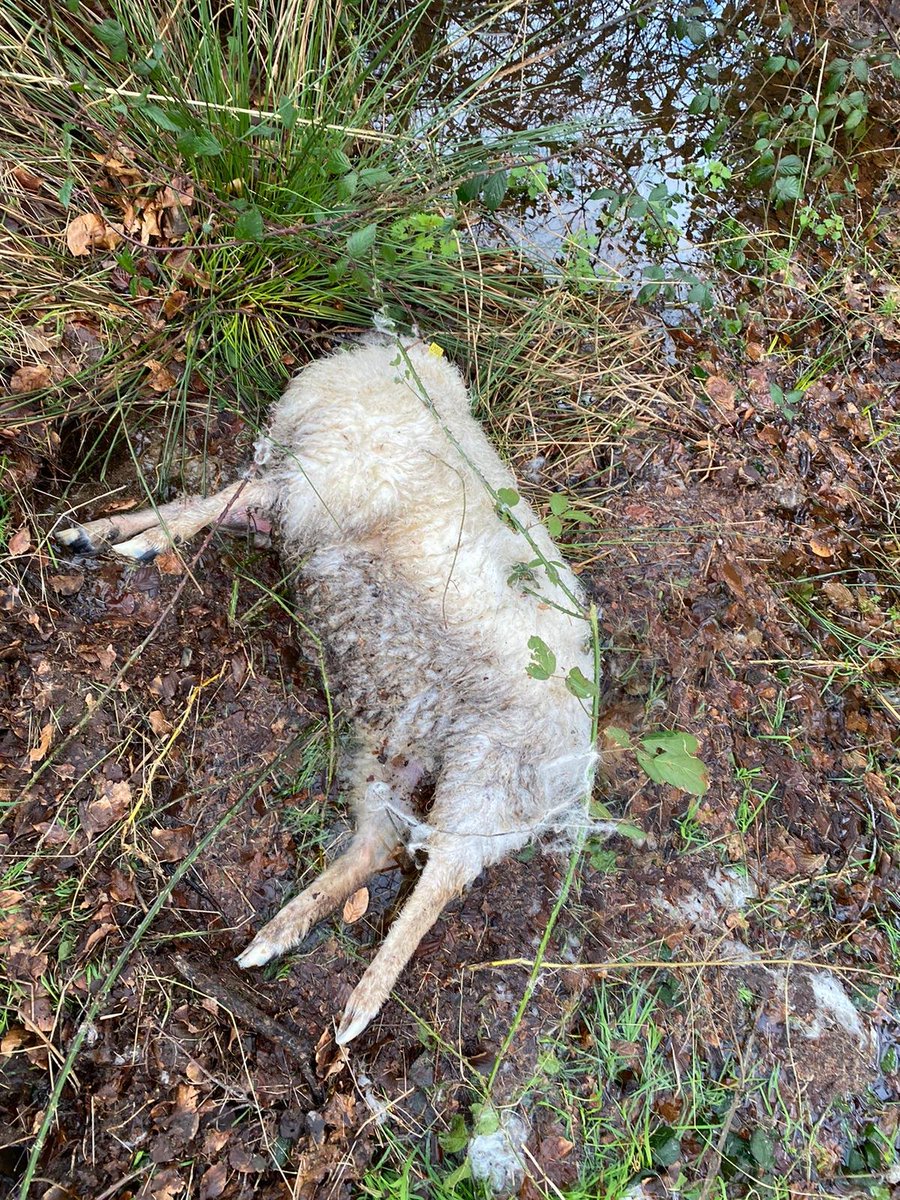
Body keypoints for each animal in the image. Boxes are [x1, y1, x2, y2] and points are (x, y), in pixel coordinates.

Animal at [56, 337, 597, 1044]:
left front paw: (140, 543)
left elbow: (212, 502)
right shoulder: (292, 493)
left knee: (440, 880)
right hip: (395, 743)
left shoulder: (311, 487)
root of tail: (581, 764)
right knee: (377, 845)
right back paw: (278, 934)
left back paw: (360, 1005)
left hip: (492, 782)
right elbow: (212, 501)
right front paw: (101, 532)